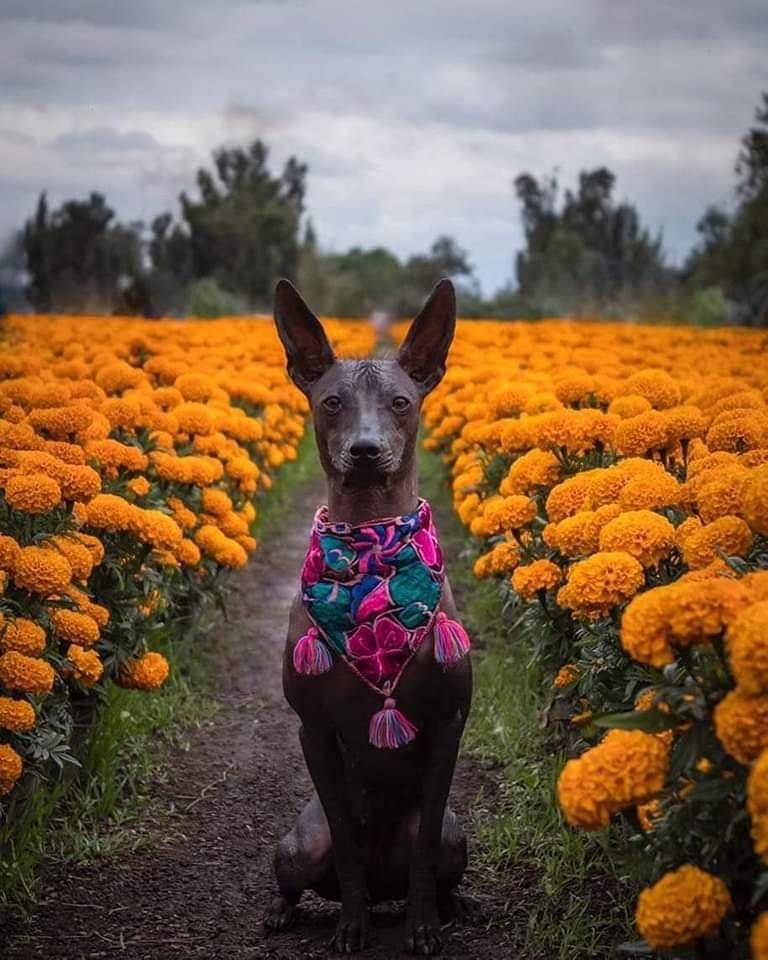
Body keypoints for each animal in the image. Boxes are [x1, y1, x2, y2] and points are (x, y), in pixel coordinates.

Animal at [266, 278, 474, 952]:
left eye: (401, 402)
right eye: (332, 402)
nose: (365, 450)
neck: (372, 545)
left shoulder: (448, 725)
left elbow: (426, 841)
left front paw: (424, 928)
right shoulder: (313, 731)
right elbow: (347, 840)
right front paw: (351, 927)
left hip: (459, 838)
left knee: (433, 860)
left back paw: (447, 907)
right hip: (298, 845)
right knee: (309, 867)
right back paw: (289, 910)